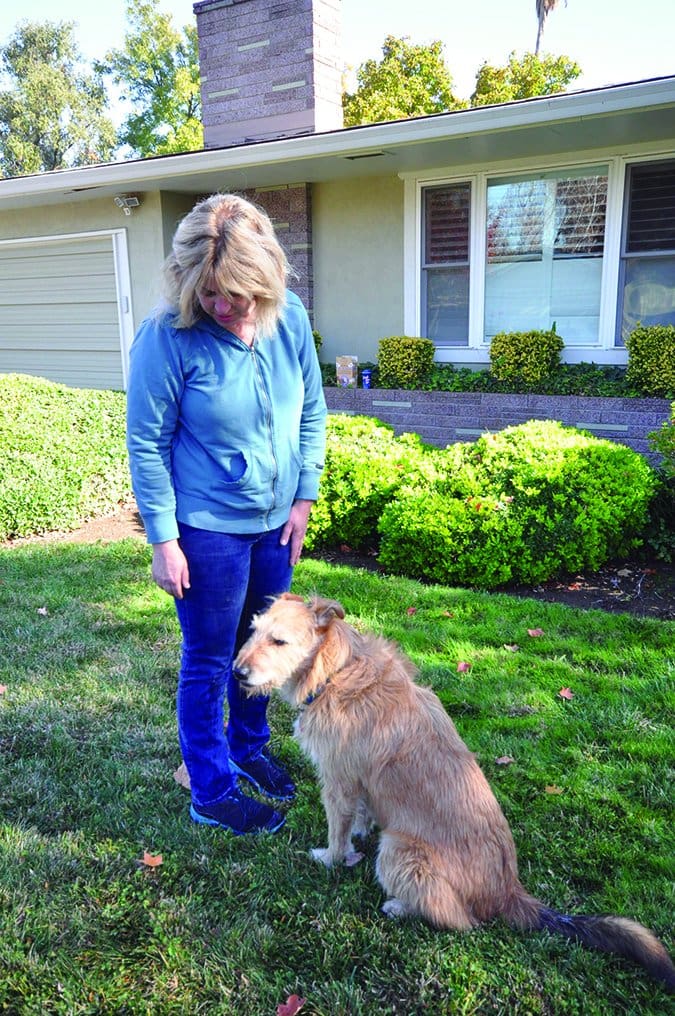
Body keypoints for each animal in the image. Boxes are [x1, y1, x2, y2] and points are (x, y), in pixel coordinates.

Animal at [233, 593, 675, 991]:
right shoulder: (360, 783)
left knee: (459, 920)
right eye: (253, 631)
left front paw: (331, 858)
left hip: (399, 851)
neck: (336, 670)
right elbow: (362, 813)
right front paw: (358, 832)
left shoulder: (338, 780)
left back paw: (400, 906)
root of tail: (507, 891)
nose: (236, 673)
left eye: (279, 641)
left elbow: (337, 833)